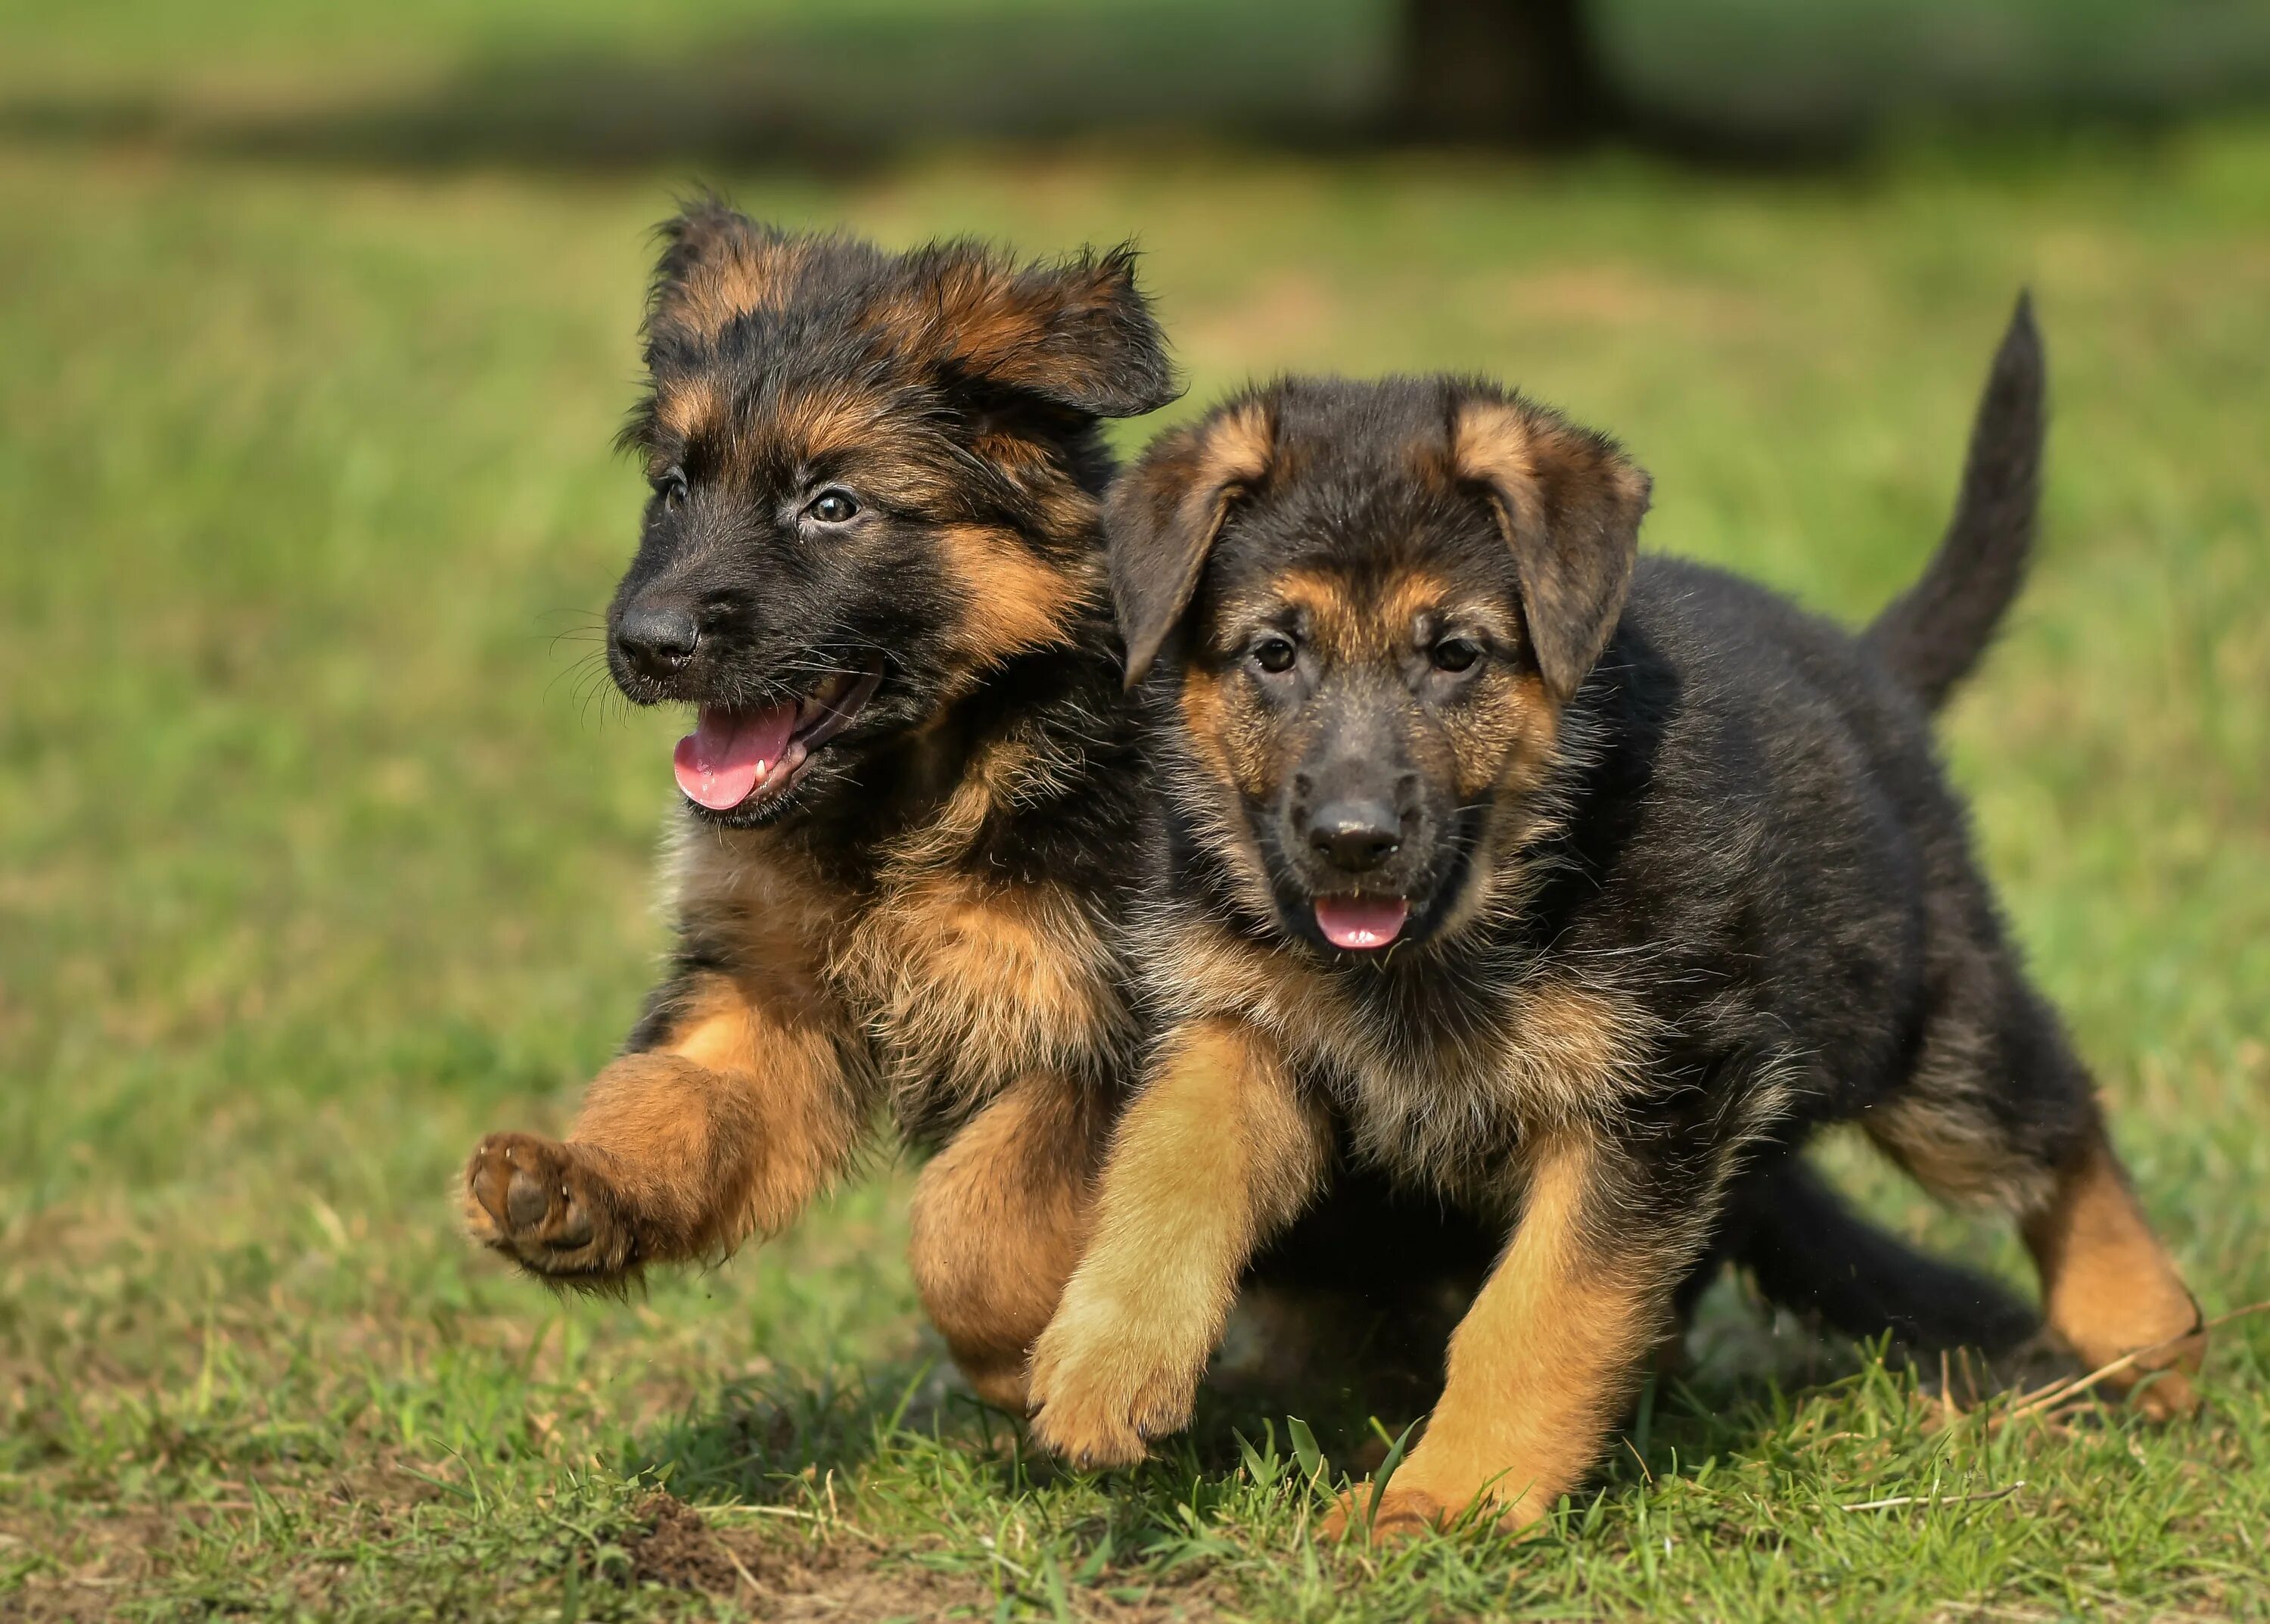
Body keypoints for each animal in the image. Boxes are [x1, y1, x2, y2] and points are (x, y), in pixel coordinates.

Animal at [1031, 302, 2197, 1535]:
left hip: (1929, 1041)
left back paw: (2146, 1333)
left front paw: (1446, 1496)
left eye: (1455, 655)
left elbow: (1535, 1313)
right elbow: (1169, 1172)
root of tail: (1861, 664)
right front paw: (1109, 1361)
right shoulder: (1239, 1025)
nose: (1350, 841)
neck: (1463, 928)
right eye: (1273, 652)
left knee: (2058, 1119)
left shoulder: (1654, 1100)